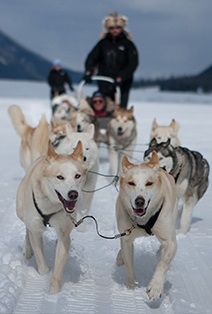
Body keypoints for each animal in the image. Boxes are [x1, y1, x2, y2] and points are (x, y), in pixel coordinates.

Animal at [15, 141, 87, 294]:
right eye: (60, 177)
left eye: (77, 176)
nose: (73, 194)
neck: (51, 205)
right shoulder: (36, 230)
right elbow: (41, 263)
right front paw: (44, 274)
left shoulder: (64, 234)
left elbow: (58, 266)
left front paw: (53, 292)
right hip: (22, 212)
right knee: (27, 229)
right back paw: (28, 249)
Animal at [116, 151, 177, 300]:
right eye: (131, 183)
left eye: (149, 183)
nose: (140, 201)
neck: (143, 221)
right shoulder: (126, 239)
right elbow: (129, 266)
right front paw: (132, 288)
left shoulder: (170, 241)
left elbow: (164, 262)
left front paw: (155, 287)